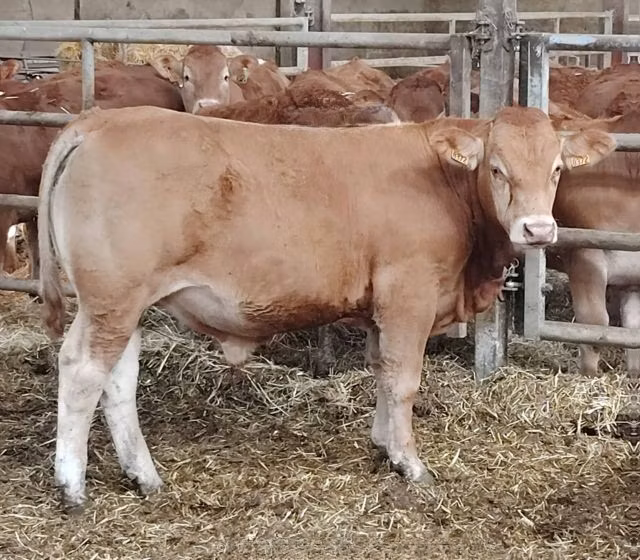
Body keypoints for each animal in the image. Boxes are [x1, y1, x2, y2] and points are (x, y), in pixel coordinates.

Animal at [36, 104, 614, 510]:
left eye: (557, 169)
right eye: (497, 169)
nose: (537, 229)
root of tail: (101, 119)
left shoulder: (381, 306)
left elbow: (381, 371)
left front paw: (384, 445)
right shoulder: (408, 293)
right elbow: (404, 381)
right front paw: (412, 464)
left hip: (124, 304)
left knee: (119, 380)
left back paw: (144, 476)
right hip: (112, 298)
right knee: (82, 370)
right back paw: (71, 486)